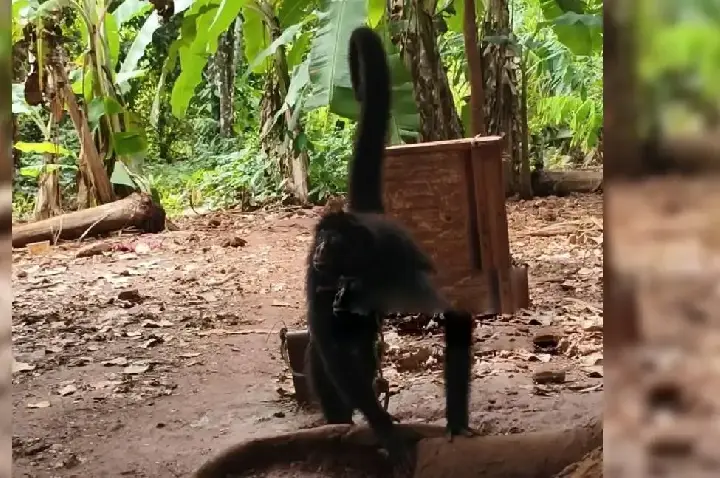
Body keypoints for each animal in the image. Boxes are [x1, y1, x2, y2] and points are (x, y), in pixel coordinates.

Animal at [304, 25, 476, 470]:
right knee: (332, 349)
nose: (320, 250)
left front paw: (456, 423)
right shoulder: (317, 276)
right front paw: (387, 434)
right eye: (321, 241)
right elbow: (331, 350)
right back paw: (339, 423)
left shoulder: (397, 262)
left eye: (332, 243)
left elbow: (454, 315)